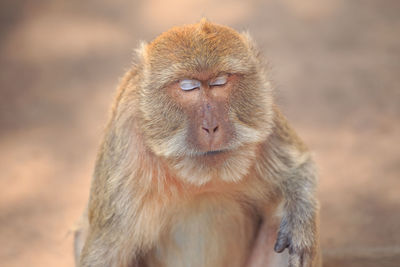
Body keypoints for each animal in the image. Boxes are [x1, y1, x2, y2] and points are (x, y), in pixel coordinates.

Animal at [74, 19, 322, 267]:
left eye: (220, 82)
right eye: (188, 86)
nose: (211, 126)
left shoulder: (265, 115)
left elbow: (298, 168)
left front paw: (299, 222)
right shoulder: (126, 145)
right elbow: (105, 253)